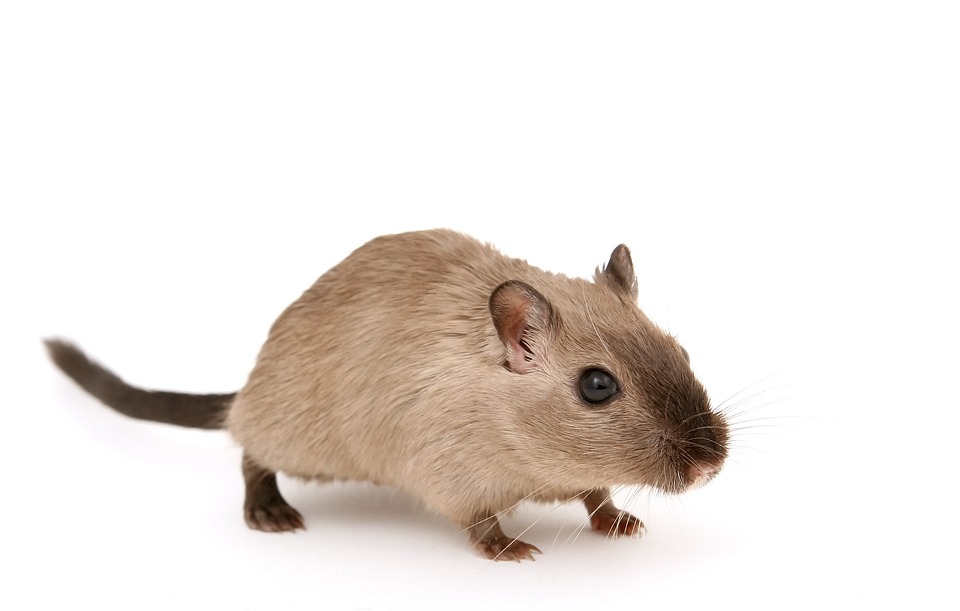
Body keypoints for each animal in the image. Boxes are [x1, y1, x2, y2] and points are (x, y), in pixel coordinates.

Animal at [45, 228, 728, 561]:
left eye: (682, 352)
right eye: (596, 385)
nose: (709, 466)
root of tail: (245, 391)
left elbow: (596, 492)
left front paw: (619, 521)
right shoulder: (452, 472)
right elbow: (478, 519)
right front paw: (508, 549)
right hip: (293, 436)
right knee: (248, 453)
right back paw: (269, 512)